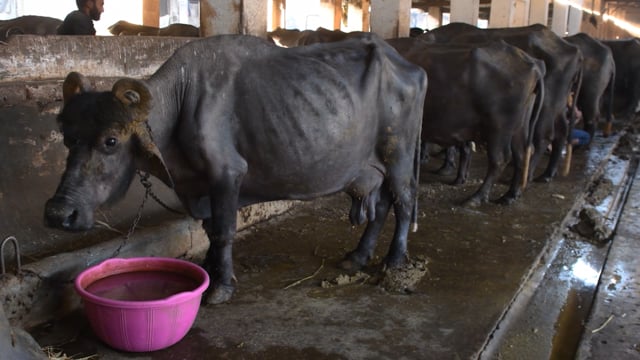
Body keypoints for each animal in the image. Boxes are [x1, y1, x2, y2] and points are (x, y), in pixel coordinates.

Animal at [42, 33, 428, 304]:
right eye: (68, 137)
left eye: (110, 140)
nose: (60, 213)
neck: (182, 98)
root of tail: (410, 66)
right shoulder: (197, 186)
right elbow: (210, 229)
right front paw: (209, 270)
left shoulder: (227, 175)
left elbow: (225, 230)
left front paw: (221, 287)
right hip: (375, 167)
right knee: (382, 206)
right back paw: (357, 257)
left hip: (398, 155)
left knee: (404, 202)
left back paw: (394, 262)